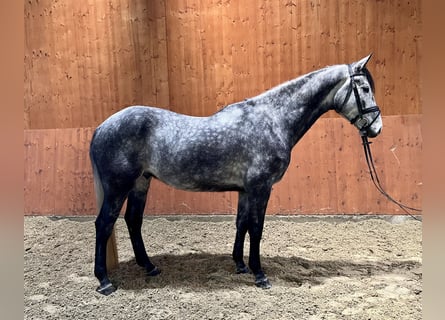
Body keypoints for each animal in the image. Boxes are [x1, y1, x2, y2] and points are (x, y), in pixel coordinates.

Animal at [90, 54, 382, 296]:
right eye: (365, 89)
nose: (376, 128)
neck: (272, 119)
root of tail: (102, 127)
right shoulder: (261, 187)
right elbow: (256, 228)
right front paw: (259, 274)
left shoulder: (244, 190)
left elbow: (241, 224)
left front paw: (240, 265)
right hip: (118, 186)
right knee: (104, 224)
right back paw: (104, 281)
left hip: (141, 183)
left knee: (133, 221)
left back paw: (149, 267)